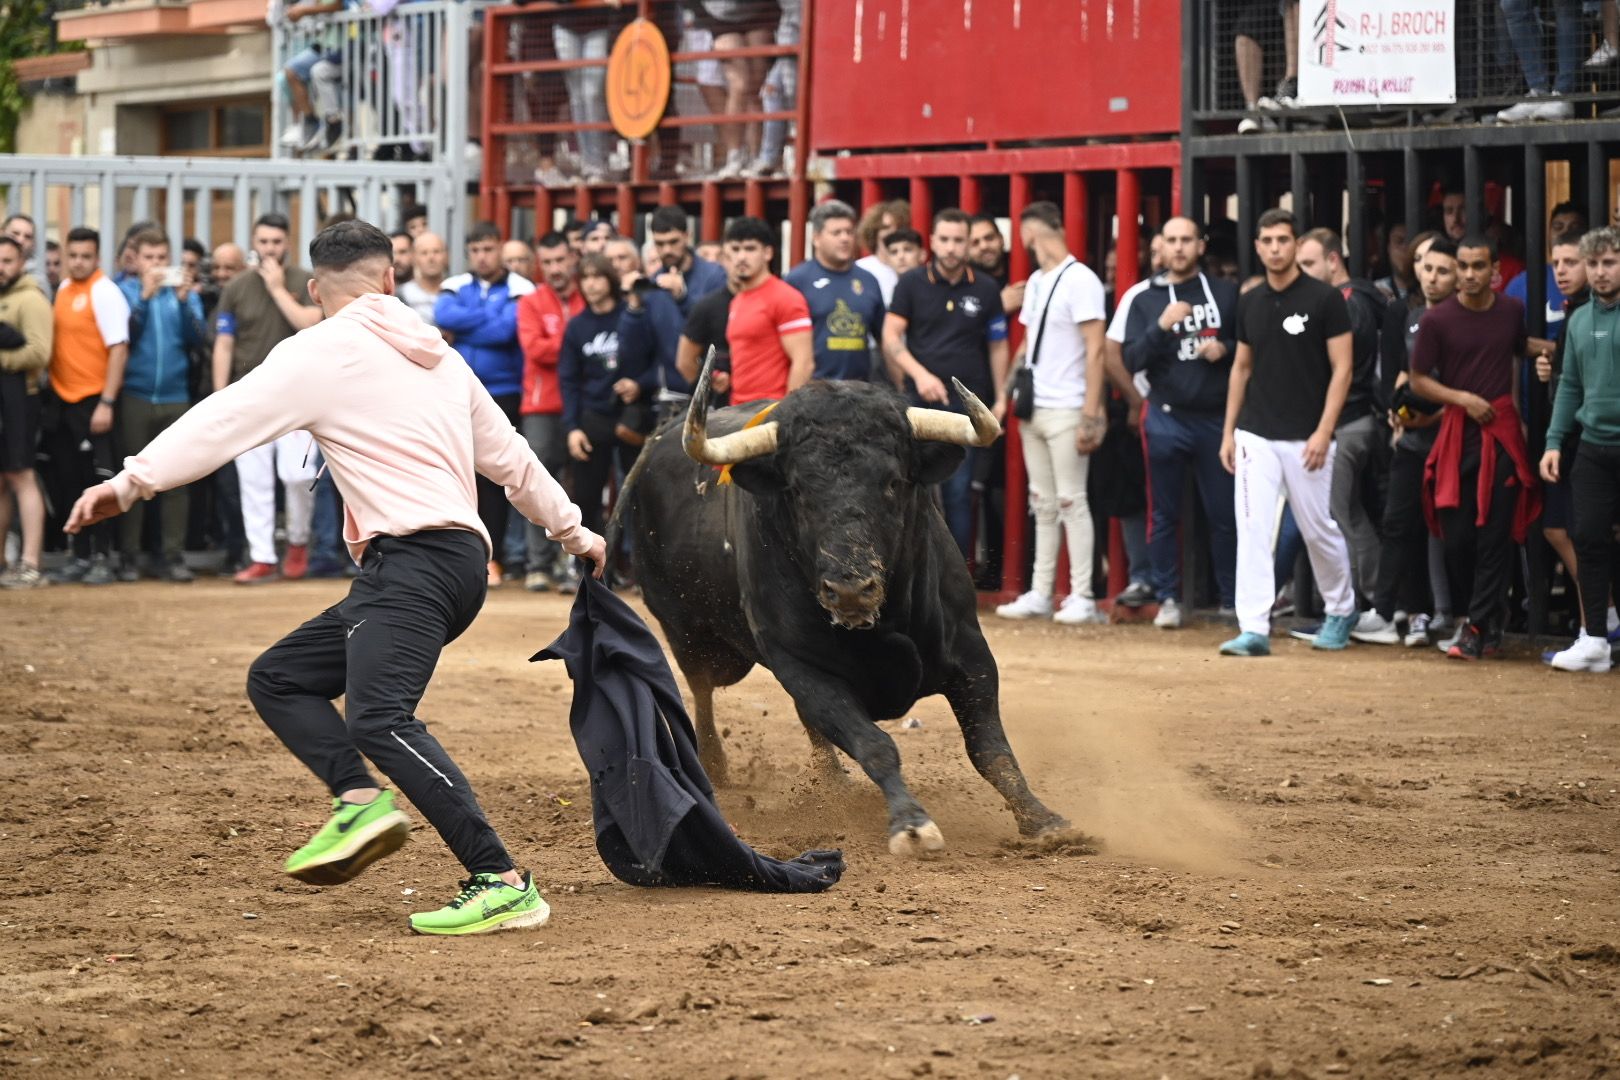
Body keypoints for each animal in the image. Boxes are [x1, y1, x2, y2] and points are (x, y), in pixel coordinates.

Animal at [612, 375, 1069, 854]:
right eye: (797, 490)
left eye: (893, 482)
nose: (850, 589)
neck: (884, 622)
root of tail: (658, 440)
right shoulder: (804, 668)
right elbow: (874, 744)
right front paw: (911, 824)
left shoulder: (971, 653)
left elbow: (990, 748)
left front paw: (1041, 818)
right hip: (686, 635)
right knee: (701, 690)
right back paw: (713, 765)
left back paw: (830, 778)